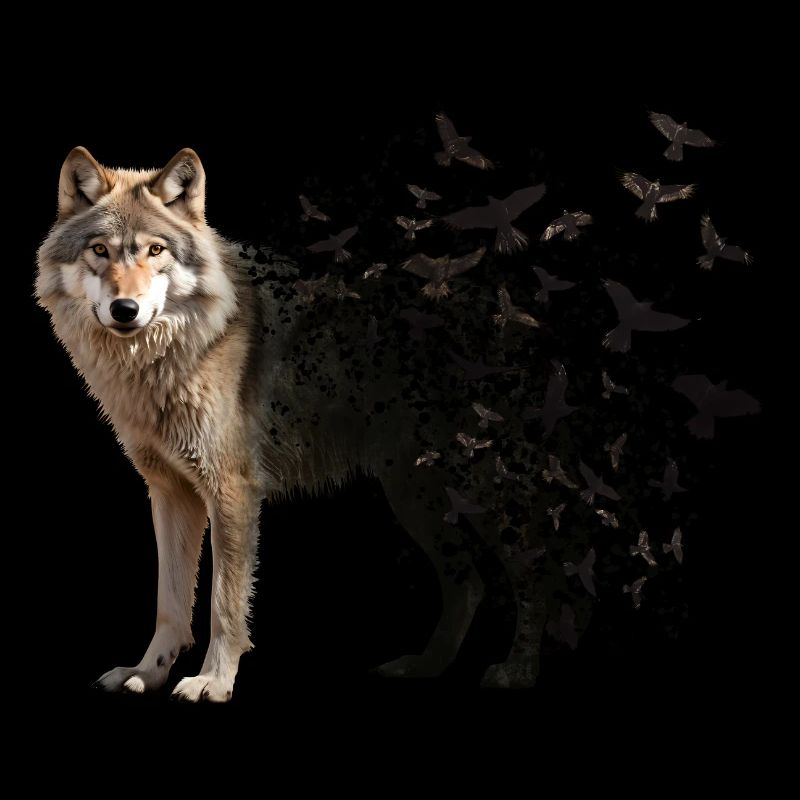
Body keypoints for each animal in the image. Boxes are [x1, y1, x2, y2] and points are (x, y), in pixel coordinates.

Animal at [35, 148, 545, 701]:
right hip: (414, 494)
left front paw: (214, 680)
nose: (124, 309)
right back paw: (425, 666)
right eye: (100, 251)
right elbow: (169, 603)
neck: (168, 356)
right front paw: (147, 672)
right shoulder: (170, 491)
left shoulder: (232, 489)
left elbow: (223, 603)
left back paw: (520, 670)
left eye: (155, 250)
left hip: (480, 490)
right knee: (469, 582)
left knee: (542, 567)